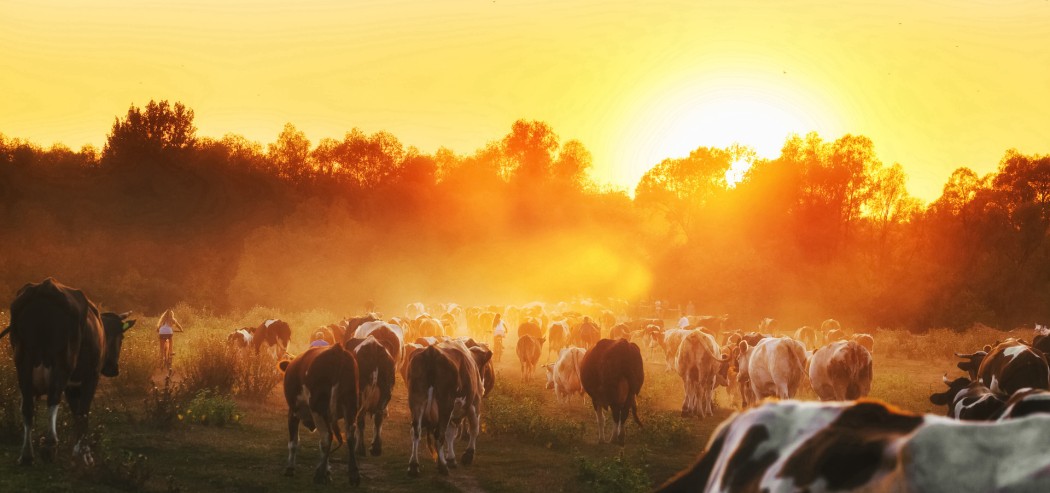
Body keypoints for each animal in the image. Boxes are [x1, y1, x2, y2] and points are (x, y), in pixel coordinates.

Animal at [2, 276, 135, 465]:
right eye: (121, 337)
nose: (113, 369)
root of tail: (45, 287)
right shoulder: (91, 377)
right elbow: (83, 412)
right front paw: (85, 454)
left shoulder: (72, 385)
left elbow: (75, 413)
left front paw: (79, 450)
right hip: (63, 361)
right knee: (53, 398)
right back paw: (50, 446)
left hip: (23, 361)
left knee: (27, 406)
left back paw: (27, 454)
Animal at [279, 341, 361, 484]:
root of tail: (337, 350)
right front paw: (327, 471)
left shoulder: (293, 412)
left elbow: (293, 442)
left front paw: (290, 468)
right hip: (350, 405)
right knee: (349, 435)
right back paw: (353, 474)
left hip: (318, 408)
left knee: (327, 437)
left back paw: (319, 475)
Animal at [407, 339, 485, 476]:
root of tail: (431, 351)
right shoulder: (474, 402)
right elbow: (473, 429)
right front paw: (467, 455)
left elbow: (451, 433)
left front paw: (451, 458)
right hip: (445, 403)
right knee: (439, 434)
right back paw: (442, 466)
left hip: (417, 399)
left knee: (416, 431)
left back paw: (414, 466)